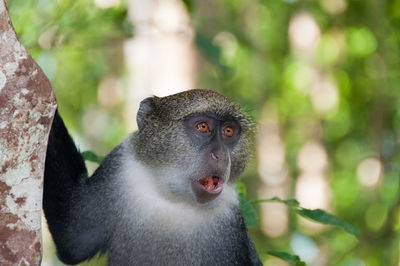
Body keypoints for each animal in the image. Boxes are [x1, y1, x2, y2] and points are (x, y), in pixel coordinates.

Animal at [43, 88, 262, 264]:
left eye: (228, 131)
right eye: (203, 127)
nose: (221, 156)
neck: (174, 198)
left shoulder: (230, 214)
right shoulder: (120, 167)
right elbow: (73, 236)